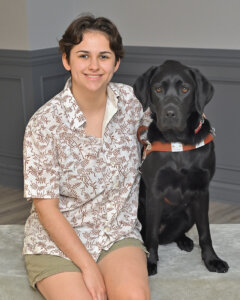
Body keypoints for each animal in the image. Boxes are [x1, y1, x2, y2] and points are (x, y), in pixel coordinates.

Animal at [133, 59, 229, 276]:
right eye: (158, 89)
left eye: (185, 89)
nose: (170, 113)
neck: (178, 143)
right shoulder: (154, 192)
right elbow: (151, 236)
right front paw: (150, 262)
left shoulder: (202, 191)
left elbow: (205, 232)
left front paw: (212, 260)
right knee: (150, 235)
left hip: (188, 213)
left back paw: (184, 240)